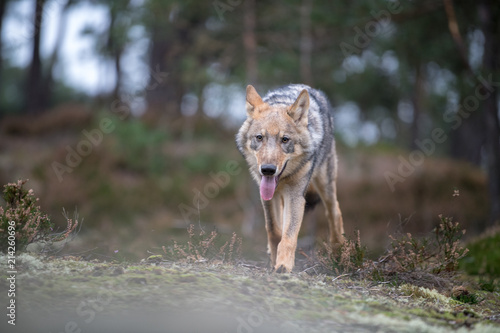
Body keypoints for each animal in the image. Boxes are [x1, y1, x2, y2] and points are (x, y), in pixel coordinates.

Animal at [236, 83, 346, 272]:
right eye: (259, 137)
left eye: (285, 140)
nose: (268, 170)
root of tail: (309, 88)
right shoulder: (267, 196)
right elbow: (274, 231)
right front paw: (274, 260)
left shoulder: (295, 196)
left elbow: (288, 235)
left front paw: (283, 265)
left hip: (325, 184)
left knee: (335, 212)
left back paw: (339, 253)